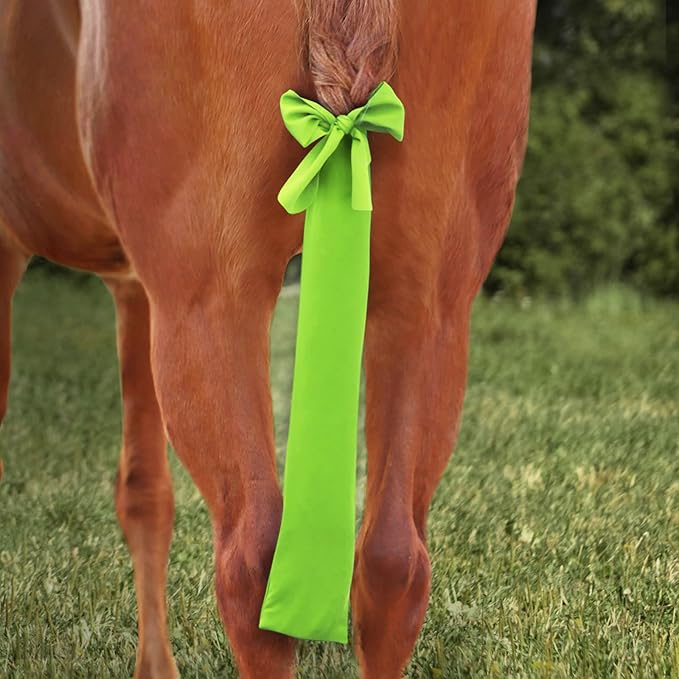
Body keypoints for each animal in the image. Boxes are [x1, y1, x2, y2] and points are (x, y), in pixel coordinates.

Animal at [0, 1, 537, 676]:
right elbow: (145, 493)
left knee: (251, 565)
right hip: (429, 306)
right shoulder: (134, 289)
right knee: (393, 563)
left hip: (208, 303)